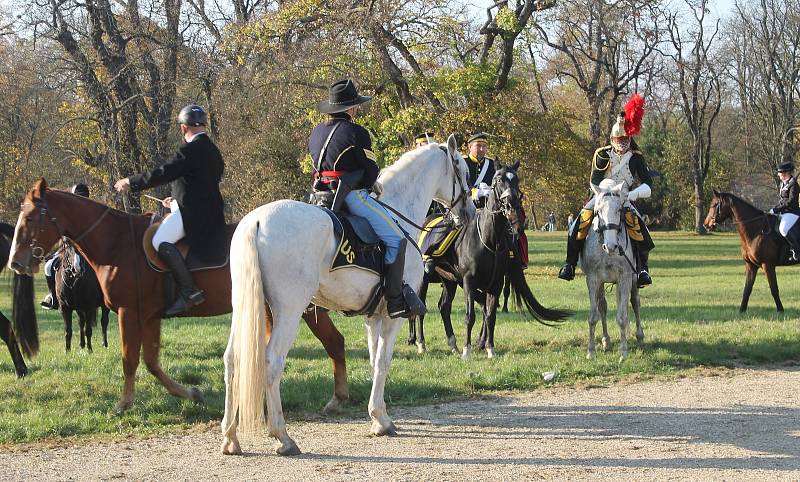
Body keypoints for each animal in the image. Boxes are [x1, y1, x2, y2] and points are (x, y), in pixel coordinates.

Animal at [7, 179, 348, 412]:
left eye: (32, 218)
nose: (16, 262)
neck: (118, 244)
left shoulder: (129, 313)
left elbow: (130, 359)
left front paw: (124, 404)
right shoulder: (149, 316)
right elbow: (151, 361)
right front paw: (190, 394)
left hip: (300, 307)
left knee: (333, 342)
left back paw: (336, 399)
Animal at [220, 135, 476, 456]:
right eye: (463, 170)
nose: (469, 212)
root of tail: (254, 223)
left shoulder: (372, 316)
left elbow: (373, 359)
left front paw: (376, 417)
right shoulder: (392, 316)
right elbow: (383, 361)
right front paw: (382, 419)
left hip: (247, 309)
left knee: (232, 360)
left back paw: (230, 437)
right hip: (288, 312)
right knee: (272, 362)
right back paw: (283, 436)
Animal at [410, 162, 572, 358]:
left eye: (516, 179)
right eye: (499, 179)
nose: (511, 205)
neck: (490, 240)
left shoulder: (495, 284)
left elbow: (490, 315)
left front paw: (489, 348)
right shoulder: (469, 282)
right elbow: (470, 316)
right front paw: (467, 350)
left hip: (449, 280)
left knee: (444, 306)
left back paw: (453, 344)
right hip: (425, 279)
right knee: (421, 308)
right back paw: (421, 343)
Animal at [580, 180, 640, 362]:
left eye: (619, 209)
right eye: (598, 211)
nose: (611, 246)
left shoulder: (625, 277)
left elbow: (622, 316)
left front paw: (623, 352)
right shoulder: (593, 279)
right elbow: (594, 316)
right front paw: (591, 351)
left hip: (634, 280)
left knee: (635, 303)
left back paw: (639, 336)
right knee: (603, 307)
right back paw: (606, 341)